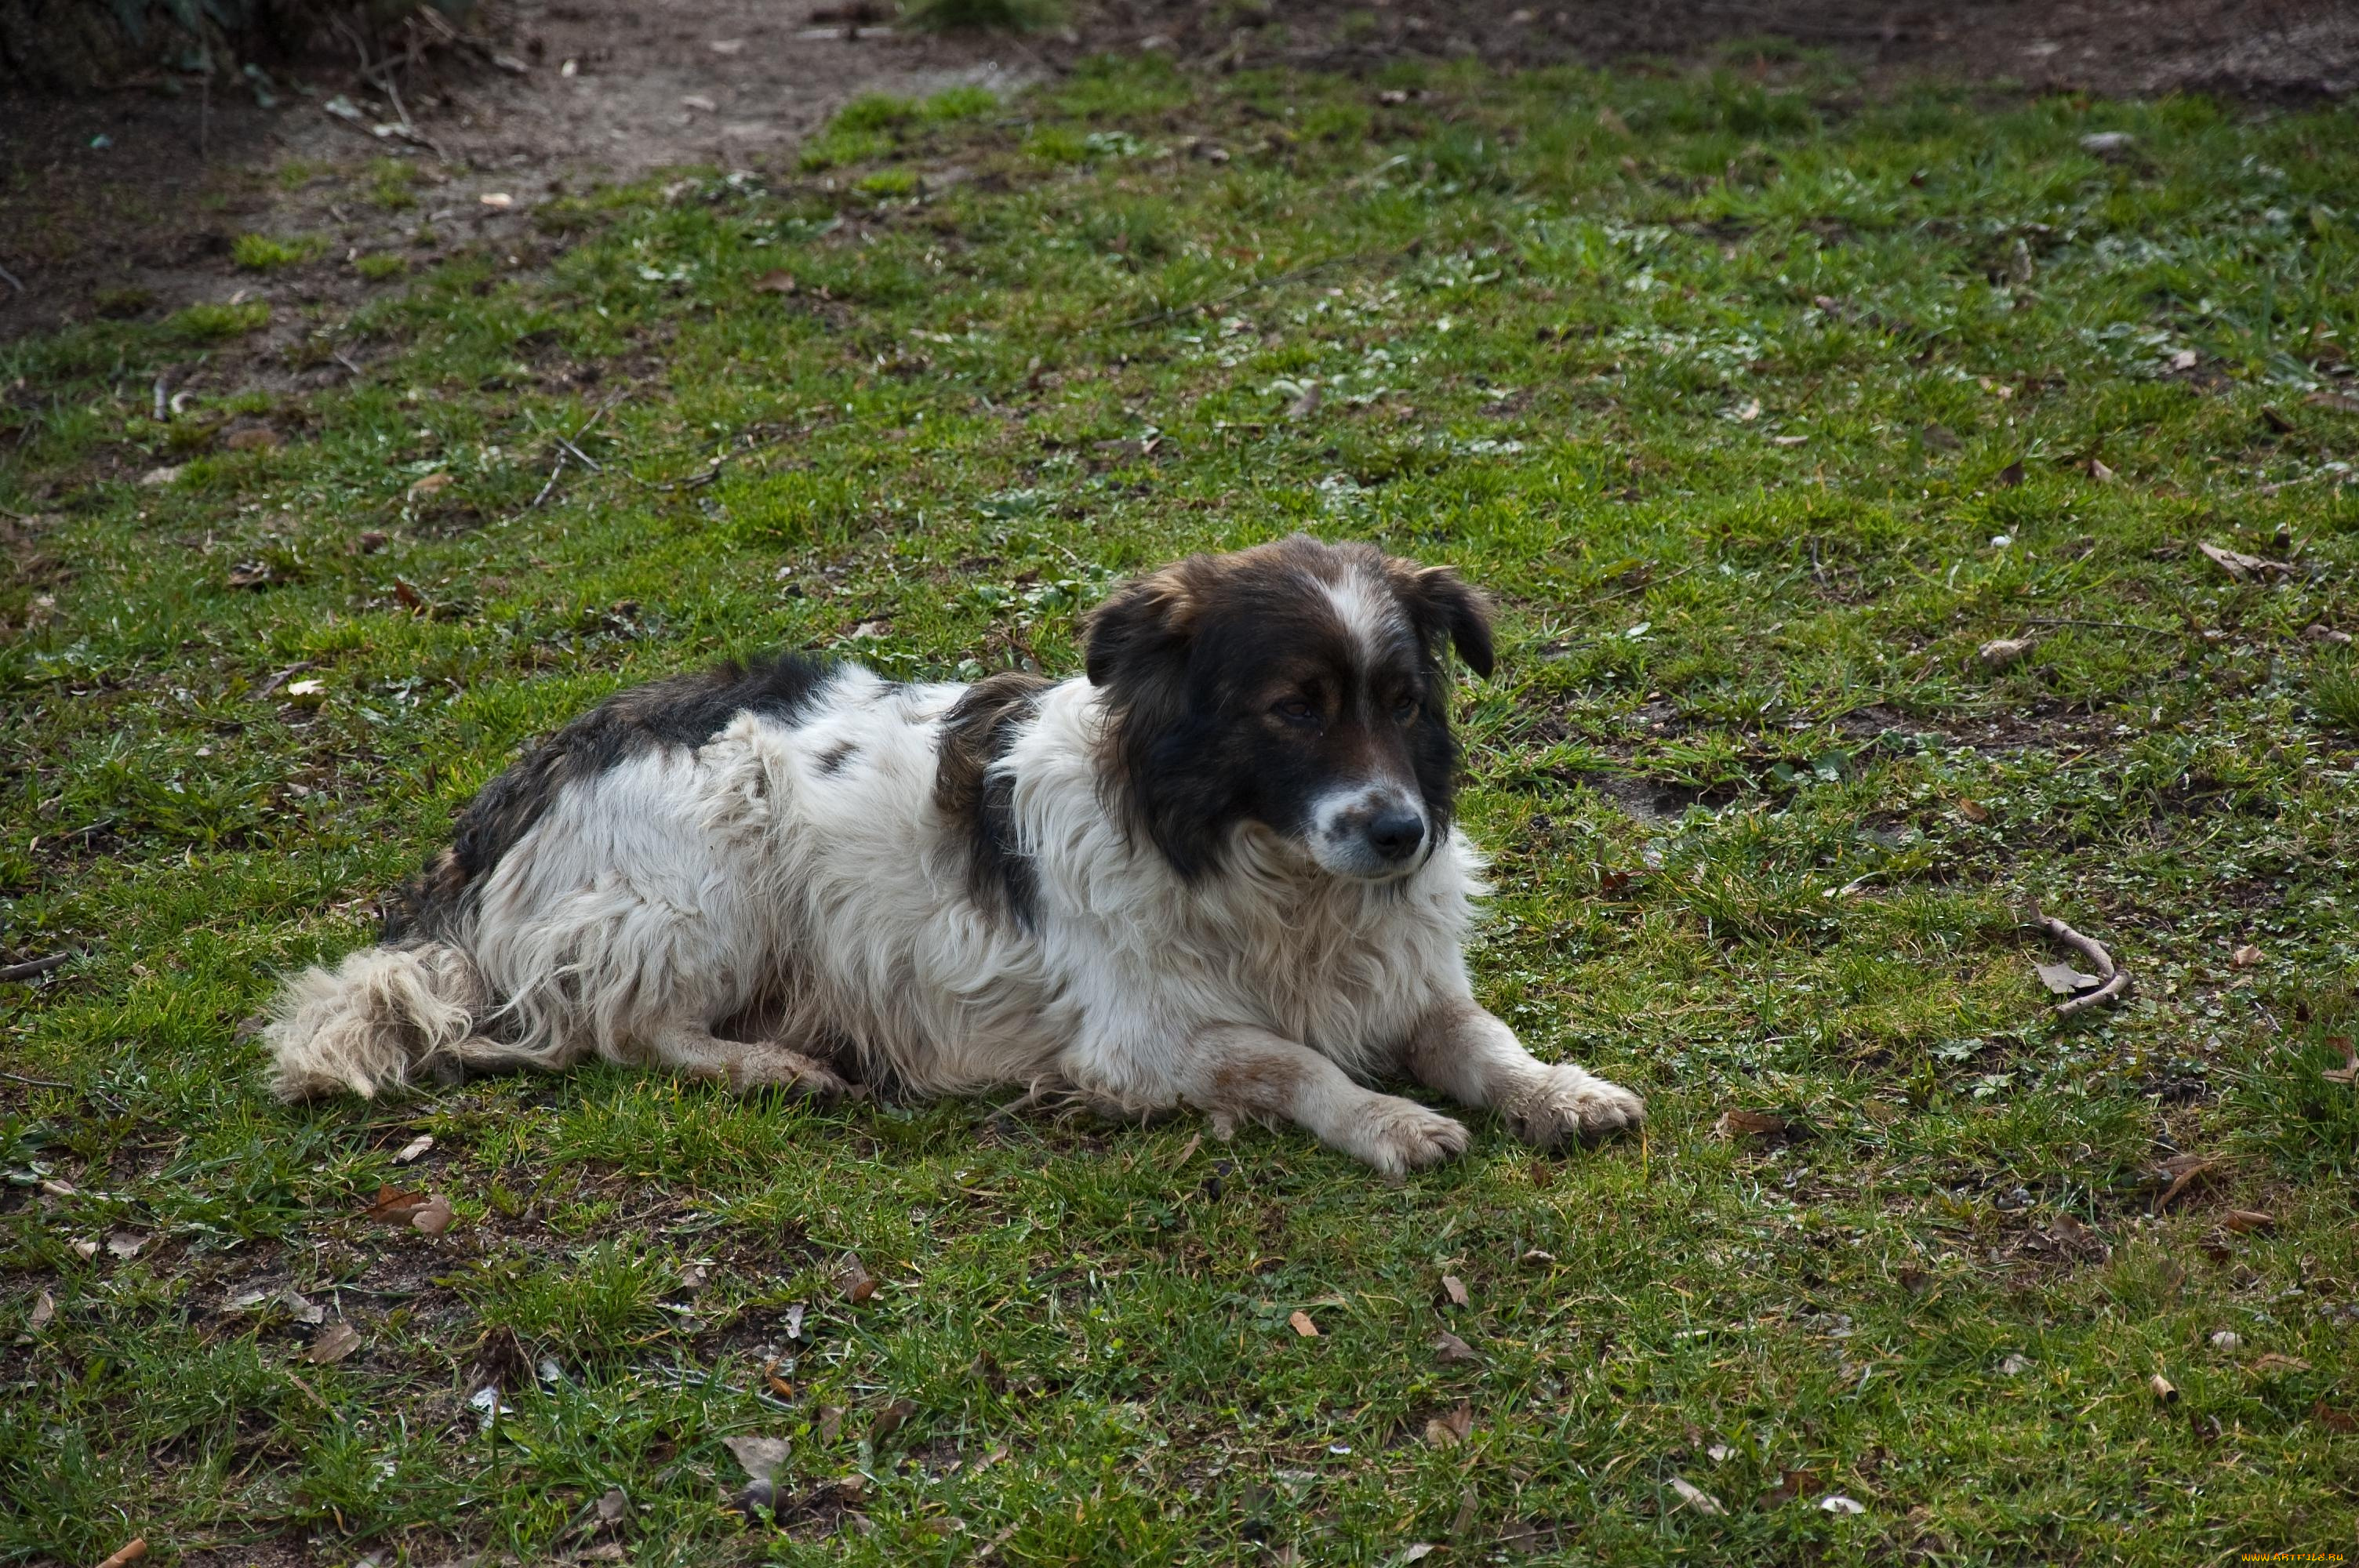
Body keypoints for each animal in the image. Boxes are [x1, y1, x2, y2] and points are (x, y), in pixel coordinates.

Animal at [263, 532, 1641, 1169]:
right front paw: (1388, 1118)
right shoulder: (1139, 1042)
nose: (1399, 831)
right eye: (1292, 710)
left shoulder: (1410, 980)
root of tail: (513, 793)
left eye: (1404, 702)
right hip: (717, 876)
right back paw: (772, 1067)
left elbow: (1482, 1039)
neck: (1264, 869)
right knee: (623, 1028)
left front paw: (1560, 1090)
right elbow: (1289, 1063)